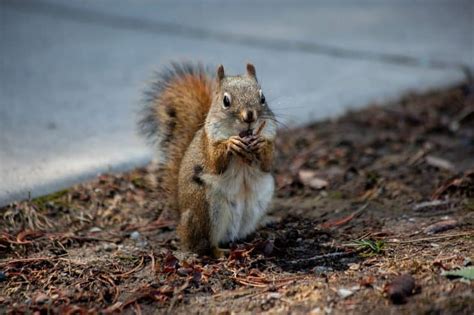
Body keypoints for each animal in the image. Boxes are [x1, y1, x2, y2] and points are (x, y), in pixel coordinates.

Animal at [139, 61, 276, 256]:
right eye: (226, 101)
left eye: (262, 97)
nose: (249, 116)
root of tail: (182, 224)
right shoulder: (208, 144)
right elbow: (214, 163)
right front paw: (230, 144)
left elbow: (267, 164)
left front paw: (261, 144)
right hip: (207, 207)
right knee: (207, 242)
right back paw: (219, 251)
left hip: (258, 202)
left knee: (238, 233)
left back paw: (254, 235)